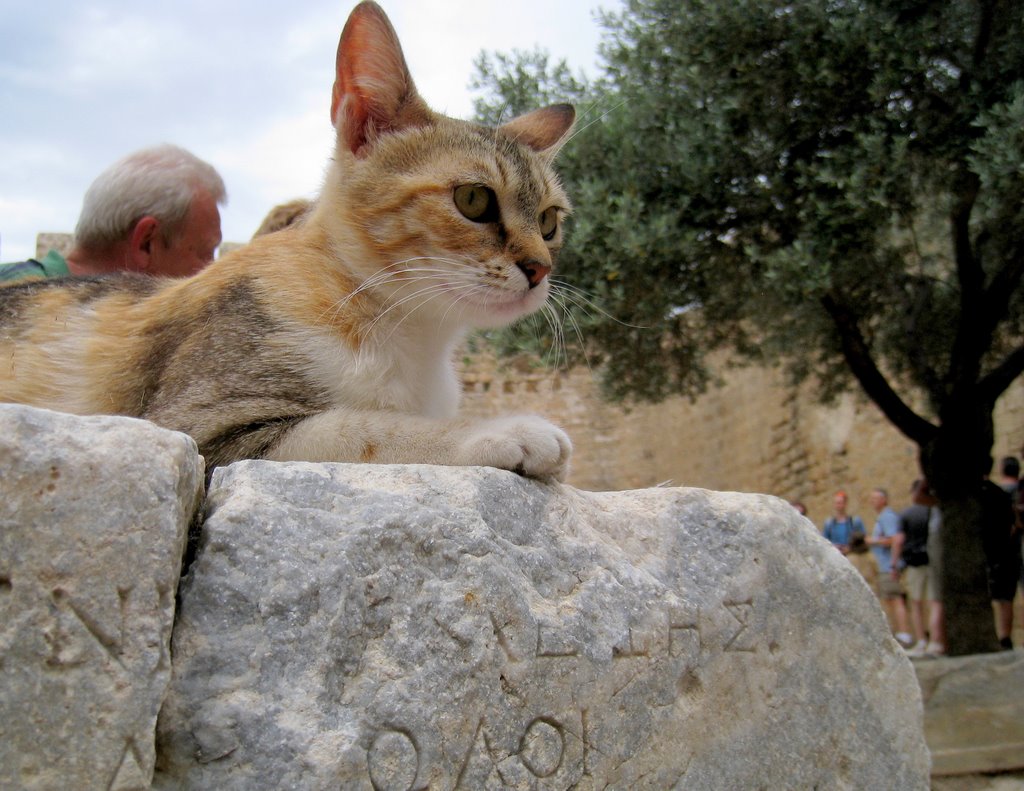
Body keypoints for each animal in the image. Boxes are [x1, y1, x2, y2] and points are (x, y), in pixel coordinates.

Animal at [0, 3, 577, 481]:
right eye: (474, 199)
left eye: (549, 220)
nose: (539, 268)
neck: (408, 336)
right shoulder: (194, 429)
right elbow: (363, 427)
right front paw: (506, 430)